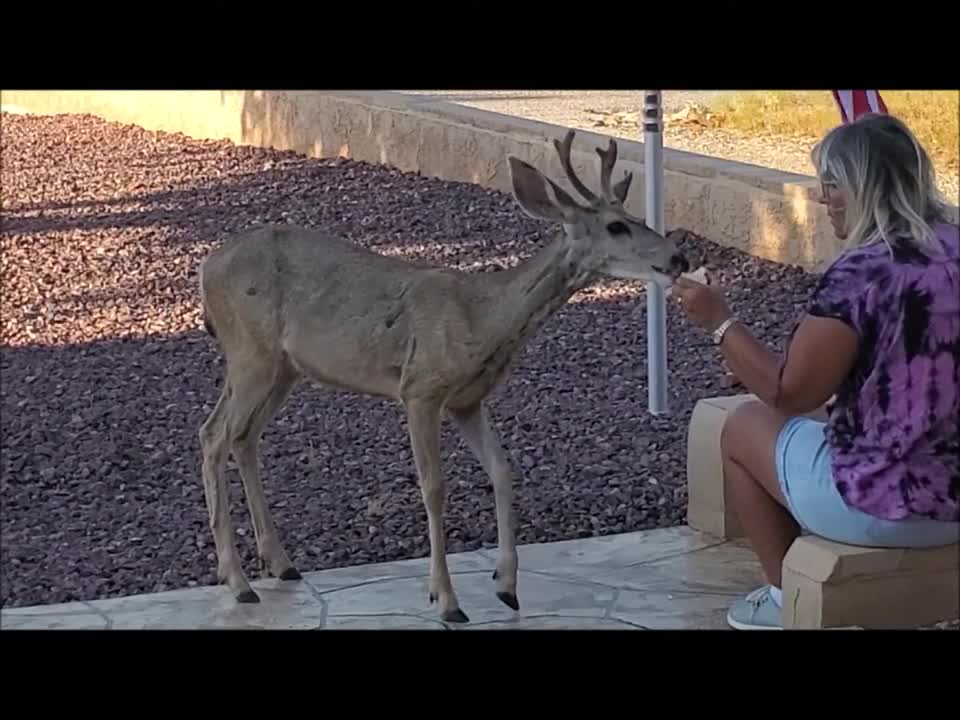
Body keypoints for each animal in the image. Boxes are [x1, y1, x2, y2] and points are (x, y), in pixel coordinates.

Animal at [197, 126, 688, 620]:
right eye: (616, 226)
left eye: (633, 215)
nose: (678, 257)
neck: (483, 319)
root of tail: (207, 267)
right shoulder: (420, 388)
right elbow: (434, 487)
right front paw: (446, 599)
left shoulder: (468, 399)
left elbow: (502, 470)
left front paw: (507, 586)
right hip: (251, 352)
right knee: (214, 435)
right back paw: (238, 581)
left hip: (283, 368)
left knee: (243, 437)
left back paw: (280, 564)